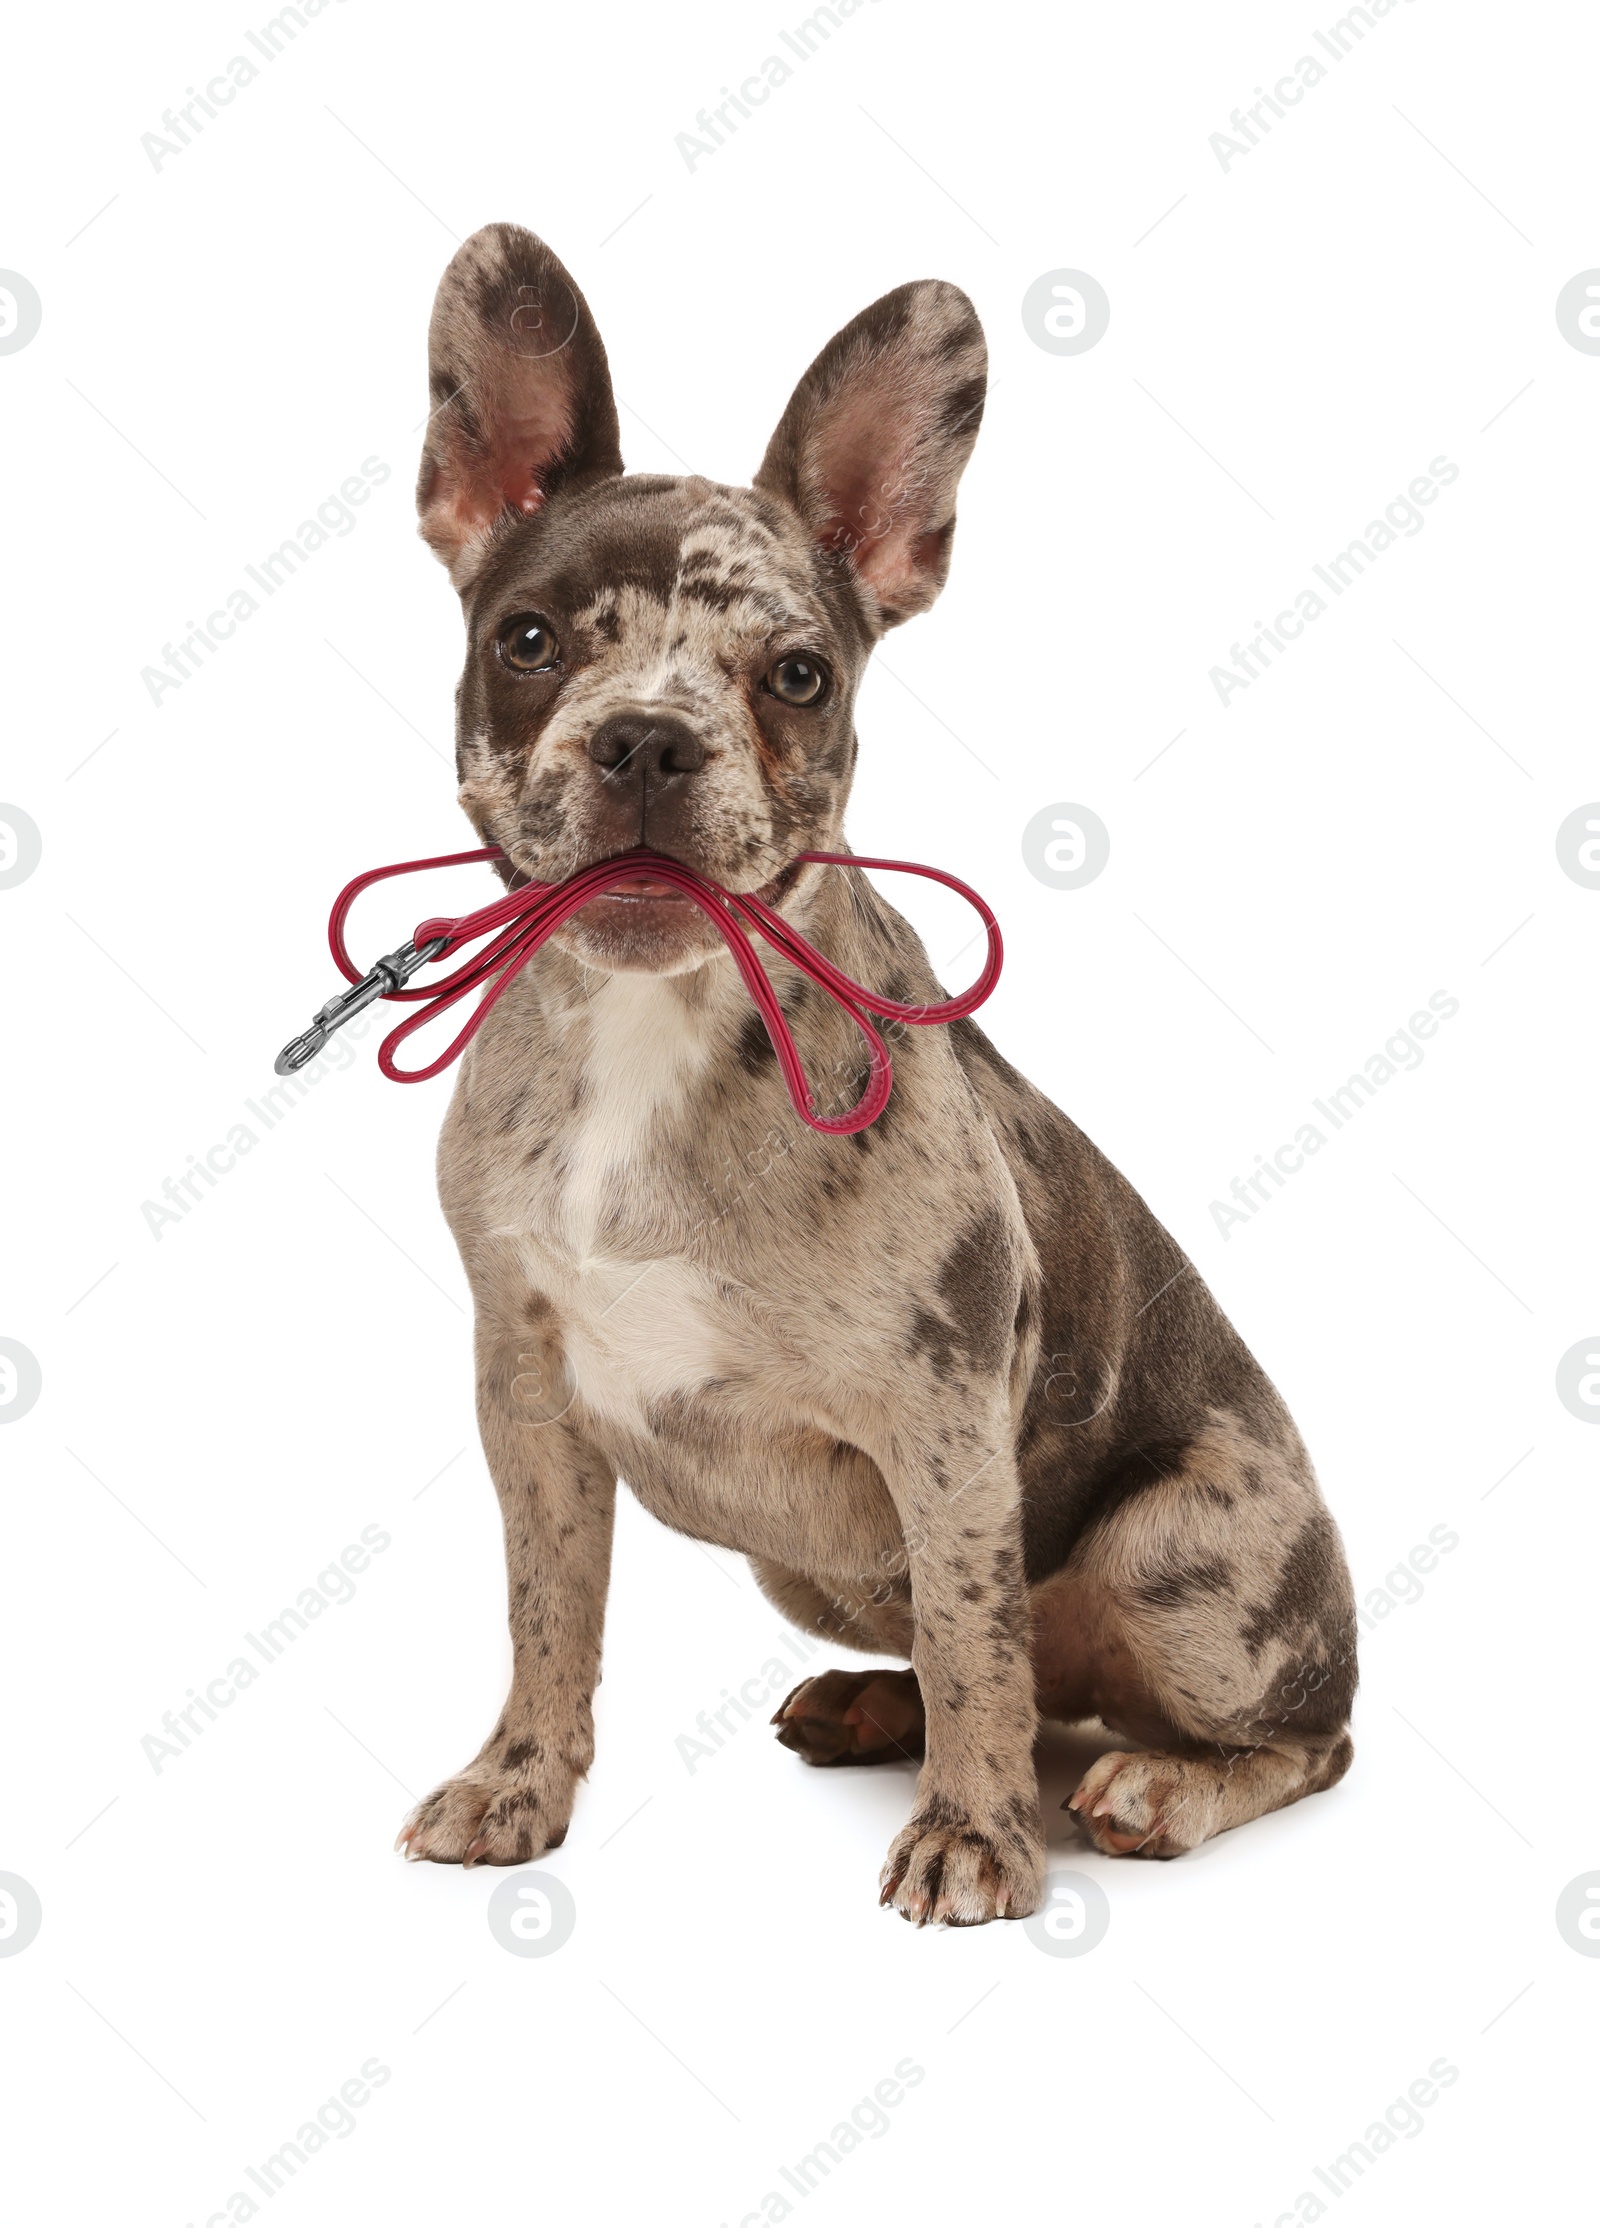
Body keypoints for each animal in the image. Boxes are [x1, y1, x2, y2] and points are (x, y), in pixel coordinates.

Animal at [394, 230, 1363, 1933]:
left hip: (1185, 1552)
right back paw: (872, 1706)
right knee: (1004, 1671)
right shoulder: (530, 1400)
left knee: (1276, 1733)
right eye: (529, 642)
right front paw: (521, 1780)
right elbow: (544, 1611)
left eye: (797, 675)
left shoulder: (946, 1420)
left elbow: (978, 1635)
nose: (646, 739)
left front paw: (975, 1835)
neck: (651, 1028)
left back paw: (1159, 1785)